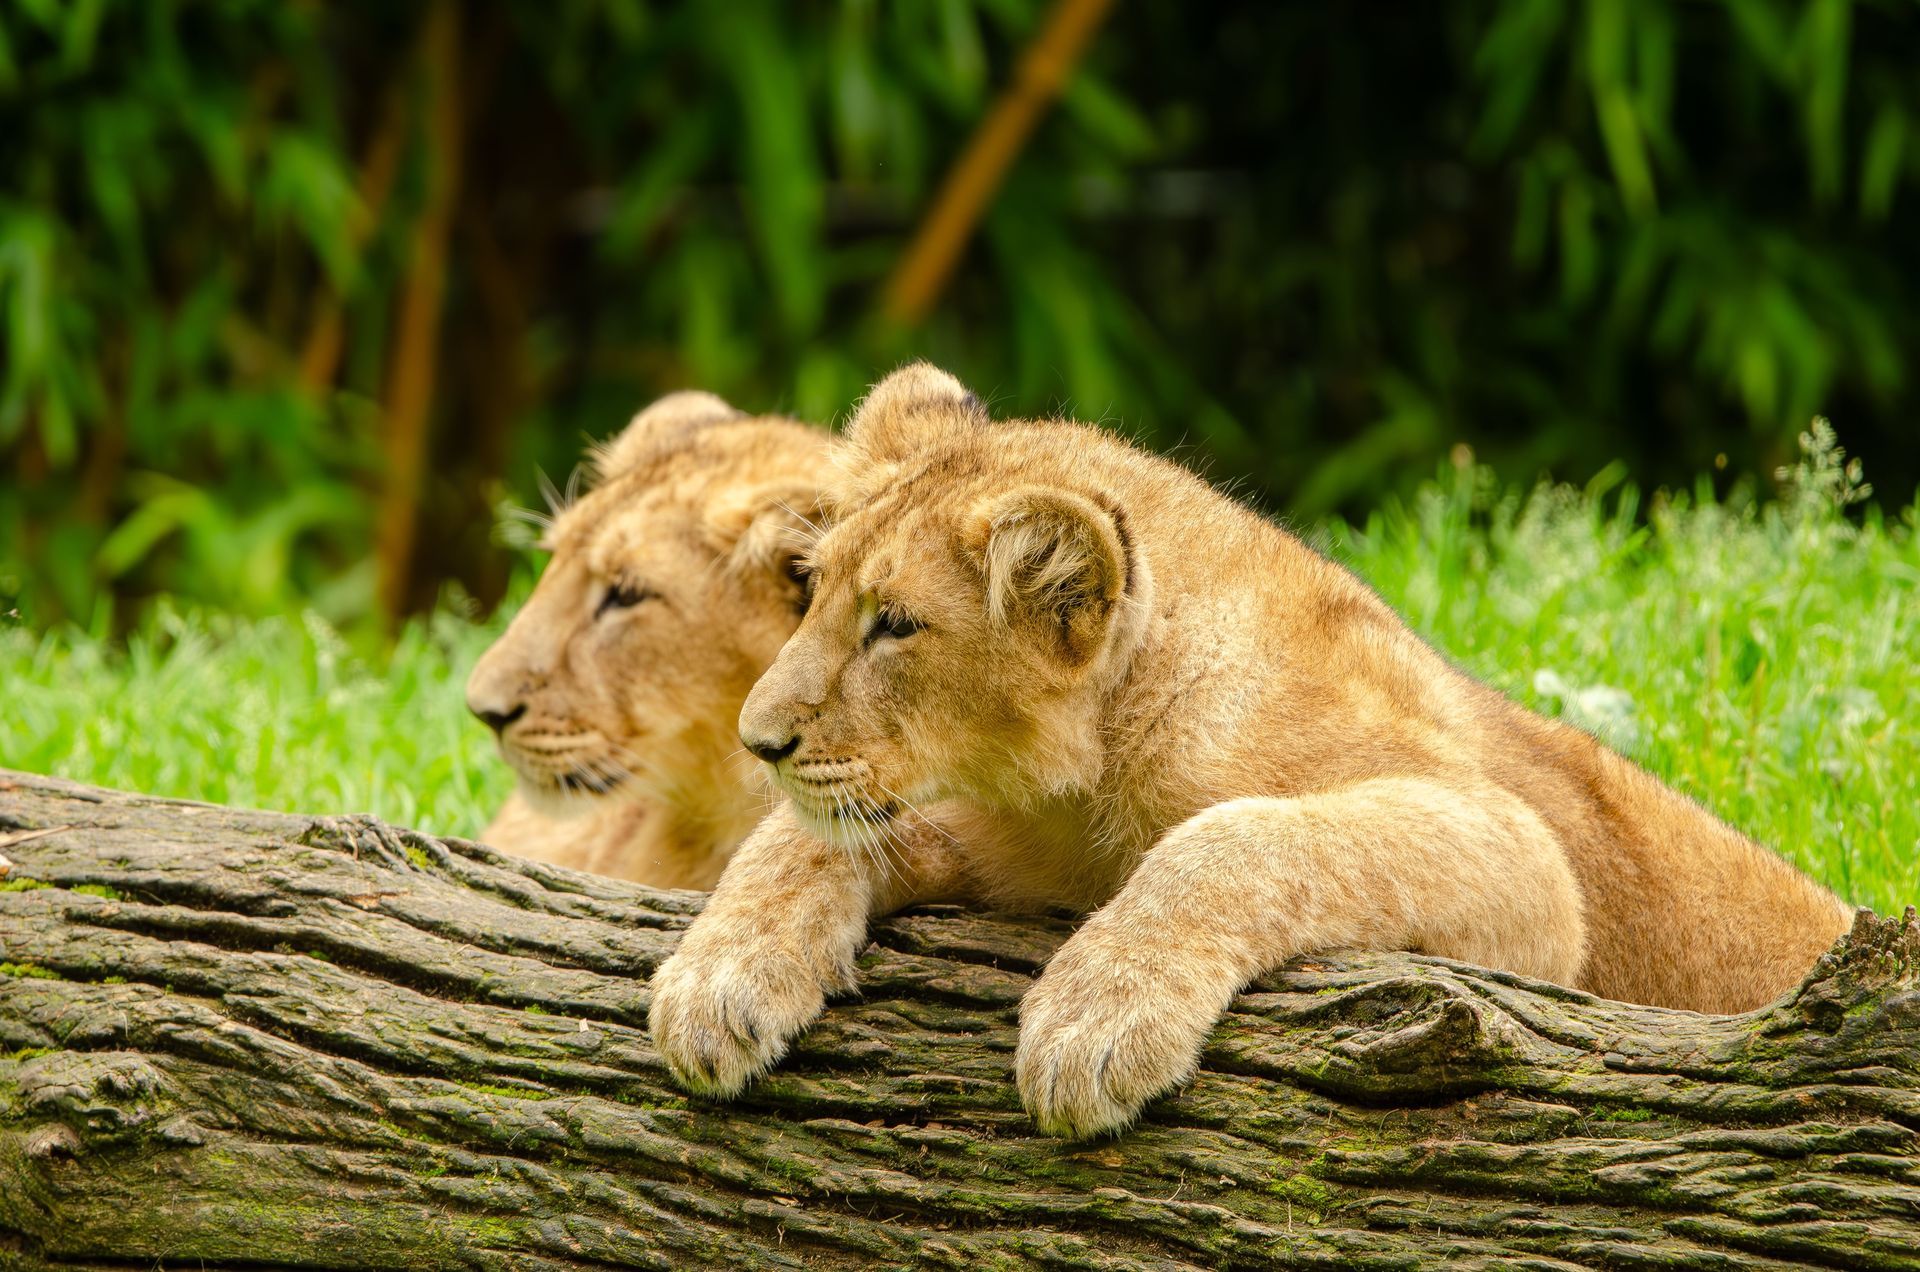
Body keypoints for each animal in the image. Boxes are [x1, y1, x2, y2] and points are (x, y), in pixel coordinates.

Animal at [646, 363, 1857, 1138]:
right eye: (811, 590)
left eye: (895, 625)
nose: (760, 739)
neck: (1093, 783)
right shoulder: (1011, 848)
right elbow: (804, 840)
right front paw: (717, 979)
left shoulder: (1527, 872)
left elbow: (1237, 833)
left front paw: (1096, 1019)